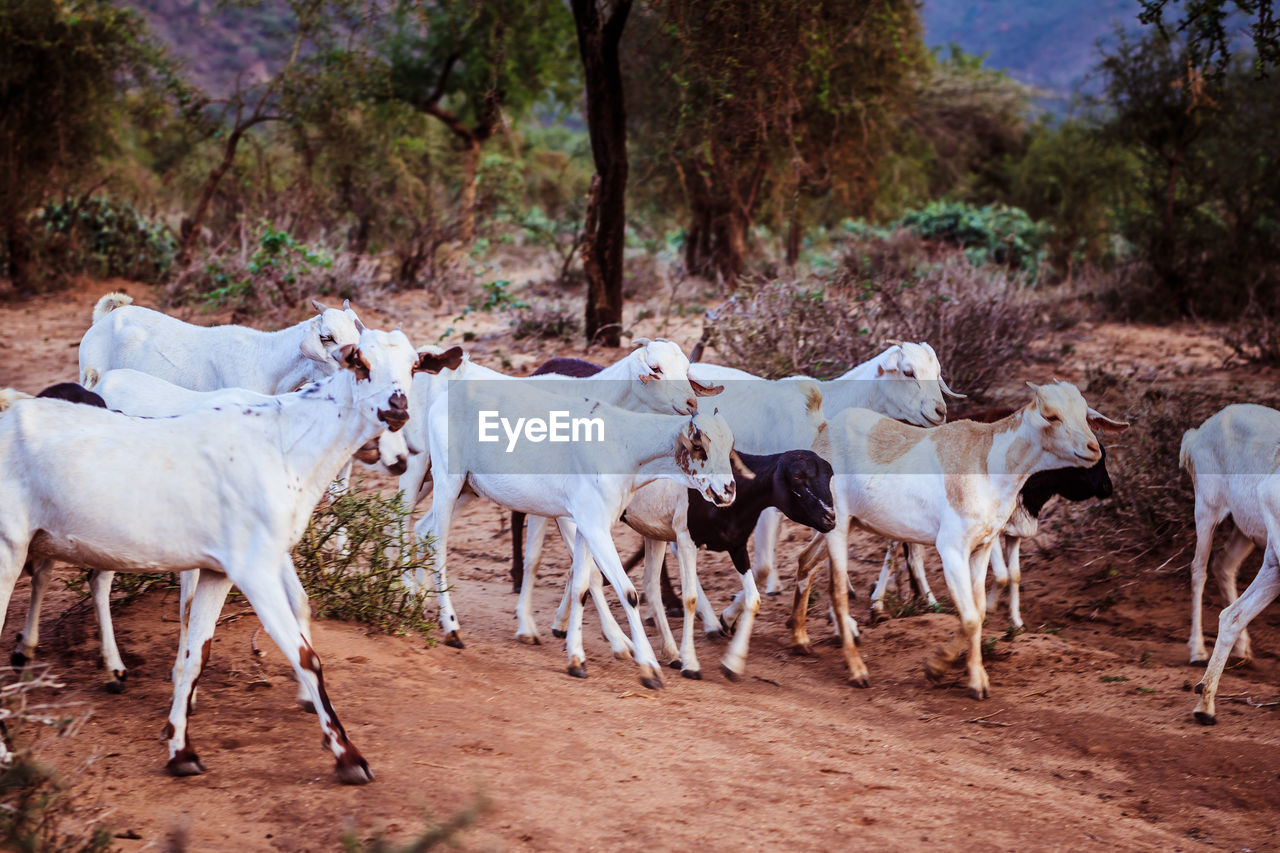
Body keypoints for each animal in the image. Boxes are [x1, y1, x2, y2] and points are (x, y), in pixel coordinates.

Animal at [0, 327, 455, 778]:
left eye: (414, 366)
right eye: (360, 362)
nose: (397, 408)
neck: (284, 442)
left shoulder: (220, 570)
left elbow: (197, 653)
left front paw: (181, 750)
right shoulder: (253, 569)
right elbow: (305, 656)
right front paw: (348, 756)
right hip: (10, 547)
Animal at [419, 376, 737, 686]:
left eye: (730, 447)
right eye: (700, 446)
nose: (728, 490)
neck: (623, 445)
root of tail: (445, 398)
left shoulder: (585, 525)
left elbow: (582, 587)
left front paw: (576, 661)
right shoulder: (596, 527)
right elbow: (628, 592)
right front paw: (650, 670)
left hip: (468, 490)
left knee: (423, 529)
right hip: (448, 481)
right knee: (438, 546)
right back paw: (452, 629)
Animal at [783, 381, 1126, 696]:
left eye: (1085, 414)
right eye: (1051, 415)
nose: (1092, 449)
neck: (989, 465)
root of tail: (824, 428)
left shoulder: (983, 546)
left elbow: (980, 611)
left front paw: (953, 670)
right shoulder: (951, 548)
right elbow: (971, 617)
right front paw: (955, 673)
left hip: (842, 523)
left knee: (805, 561)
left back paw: (800, 639)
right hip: (838, 525)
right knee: (837, 592)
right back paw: (857, 670)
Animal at [1177, 404, 1280, 666]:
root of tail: (1196, 435)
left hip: (1246, 531)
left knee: (1224, 564)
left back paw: (1242, 649)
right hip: (1206, 510)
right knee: (1198, 568)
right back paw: (1197, 651)